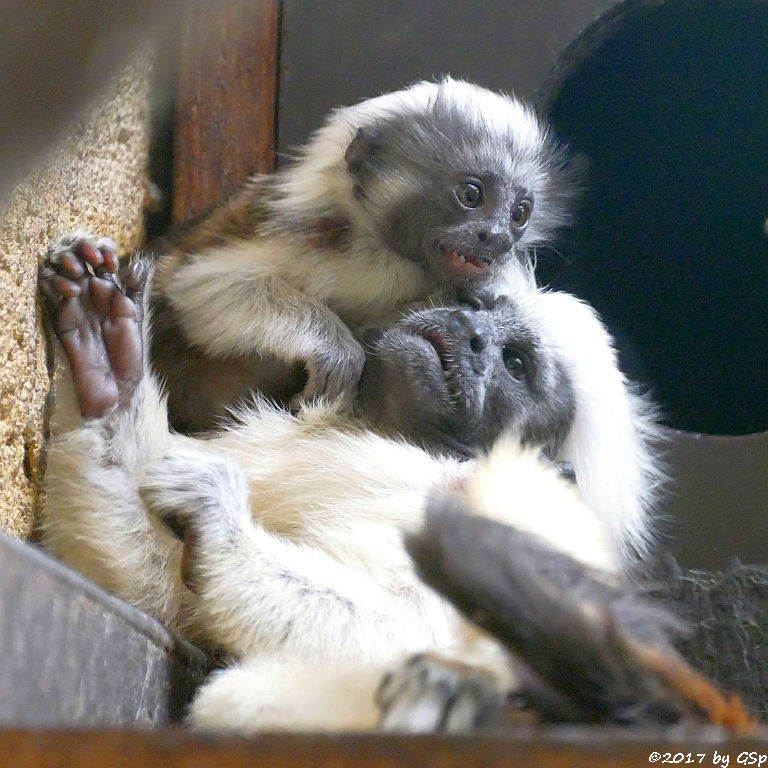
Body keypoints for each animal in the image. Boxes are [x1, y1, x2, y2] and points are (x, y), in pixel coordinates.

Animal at [148, 82, 576, 438]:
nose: (498, 238)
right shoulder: (315, 239)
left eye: (519, 213)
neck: (389, 258)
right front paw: (335, 350)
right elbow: (199, 284)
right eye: (471, 195)